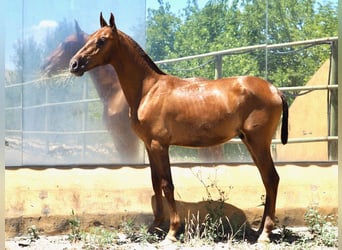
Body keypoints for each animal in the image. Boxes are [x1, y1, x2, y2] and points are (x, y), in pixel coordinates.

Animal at [69, 13, 288, 242]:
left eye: (101, 40)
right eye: (89, 38)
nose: (74, 64)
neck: (148, 90)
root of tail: (274, 90)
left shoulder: (160, 145)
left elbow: (167, 184)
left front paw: (172, 232)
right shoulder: (150, 146)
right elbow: (155, 182)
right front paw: (155, 226)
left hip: (259, 142)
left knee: (272, 179)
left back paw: (265, 233)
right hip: (251, 142)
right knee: (267, 180)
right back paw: (260, 230)